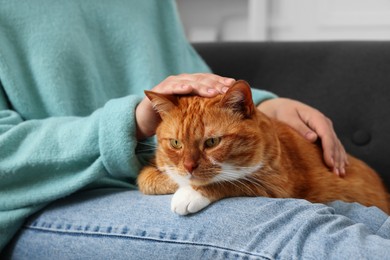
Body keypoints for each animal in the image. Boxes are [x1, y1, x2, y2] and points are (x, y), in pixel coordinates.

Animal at [136, 79, 388, 215]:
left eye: (212, 142)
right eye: (176, 143)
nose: (188, 167)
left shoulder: (277, 184)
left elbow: (231, 181)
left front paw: (189, 193)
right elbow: (146, 180)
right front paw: (178, 182)